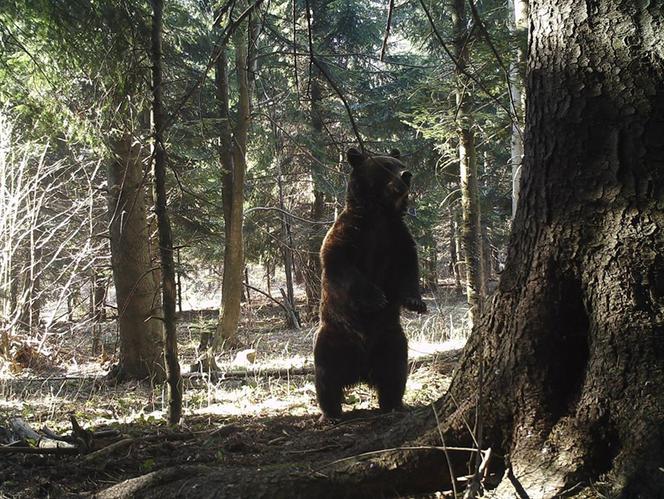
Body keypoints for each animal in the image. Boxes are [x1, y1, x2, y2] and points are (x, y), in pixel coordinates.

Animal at [312, 147, 426, 422]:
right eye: (385, 166)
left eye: (399, 164)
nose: (406, 175)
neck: (380, 214)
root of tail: (361, 370)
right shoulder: (351, 233)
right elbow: (341, 264)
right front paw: (377, 298)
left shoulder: (396, 237)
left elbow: (408, 267)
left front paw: (415, 301)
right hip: (332, 339)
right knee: (326, 377)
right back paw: (330, 413)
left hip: (390, 338)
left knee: (395, 371)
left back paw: (393, 404)